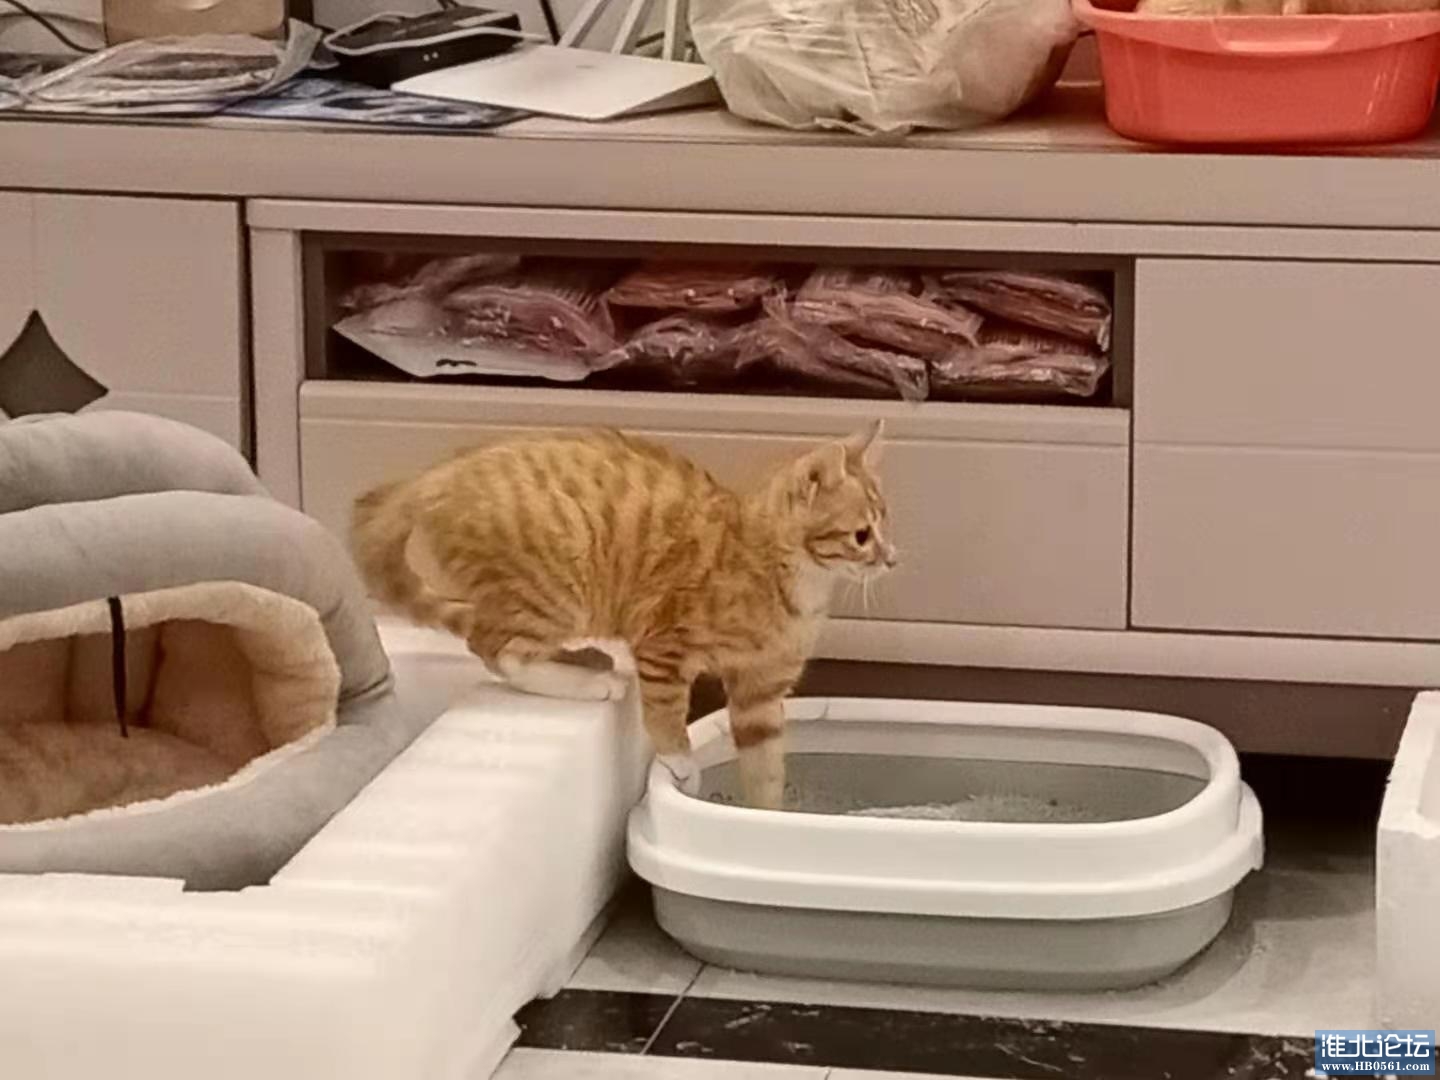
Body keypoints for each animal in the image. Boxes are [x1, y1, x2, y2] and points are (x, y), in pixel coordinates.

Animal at [352, 424, 894, 810]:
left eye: (885, 524)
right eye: (861, 535)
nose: (891, 559)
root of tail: (433, 476)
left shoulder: (759, 695)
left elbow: (766, 772)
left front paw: (764, 818)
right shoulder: (664, 647)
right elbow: (666, 716)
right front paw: (682, 767)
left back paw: (587, 658)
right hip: (556, 590)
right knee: (493, 647)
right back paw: (588, 682)